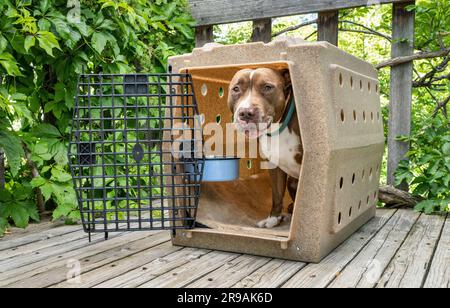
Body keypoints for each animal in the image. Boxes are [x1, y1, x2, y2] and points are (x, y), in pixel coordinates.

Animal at [229, 68, 302, 230]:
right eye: (236, 89)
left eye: (268, 87)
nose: (246, 113)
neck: (277, 127)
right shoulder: (274, 166)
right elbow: (277, 195)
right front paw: (273, 218)